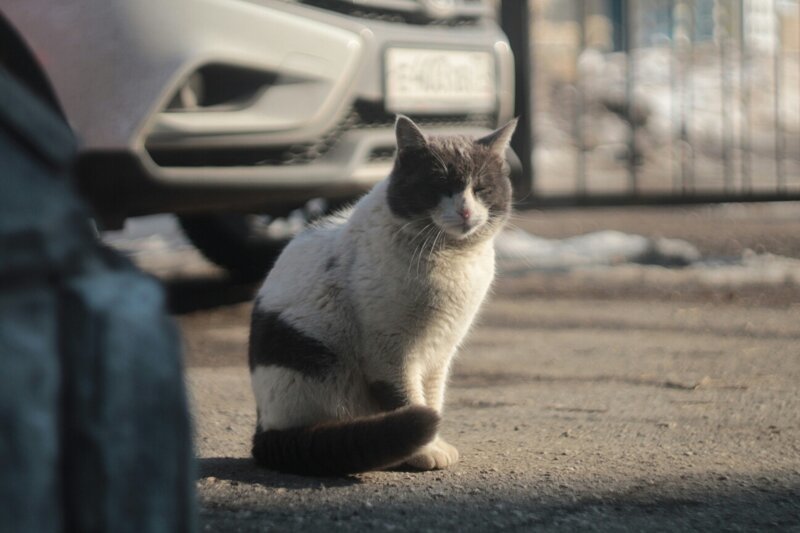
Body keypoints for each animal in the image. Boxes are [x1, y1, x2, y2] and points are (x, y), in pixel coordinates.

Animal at [250, 115, 520, 474]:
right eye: (440, 187)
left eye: (481, 189)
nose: (465, 211)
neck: (451, 256)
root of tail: (262, 429)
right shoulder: (389, 350)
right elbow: (407, 401)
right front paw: (424, 451)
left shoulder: (441, 351)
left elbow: (432, 398)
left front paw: (433, 444)